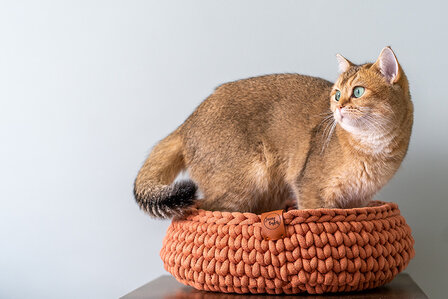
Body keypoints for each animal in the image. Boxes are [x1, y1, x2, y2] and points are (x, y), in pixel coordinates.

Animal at [133, 47, 412, 220]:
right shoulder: (310, 189)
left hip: (270, 191)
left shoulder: (358, 199)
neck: (373, 148)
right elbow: (314, 213)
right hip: (241, 183)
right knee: (209, 209)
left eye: (358, 92)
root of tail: (187, 122)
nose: (338, 107)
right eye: (336, 94)